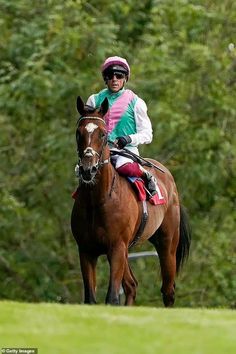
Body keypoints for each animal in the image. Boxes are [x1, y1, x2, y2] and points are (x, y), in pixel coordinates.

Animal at [71, 95, 191, 306]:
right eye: (79, 133)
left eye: (103, 134)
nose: (87, 169)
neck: (98, 201)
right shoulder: (86, 250)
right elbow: (91, 299)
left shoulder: (117, 247)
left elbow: (111, 297)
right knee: (131, 285)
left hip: (167, 244)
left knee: (168, 290)